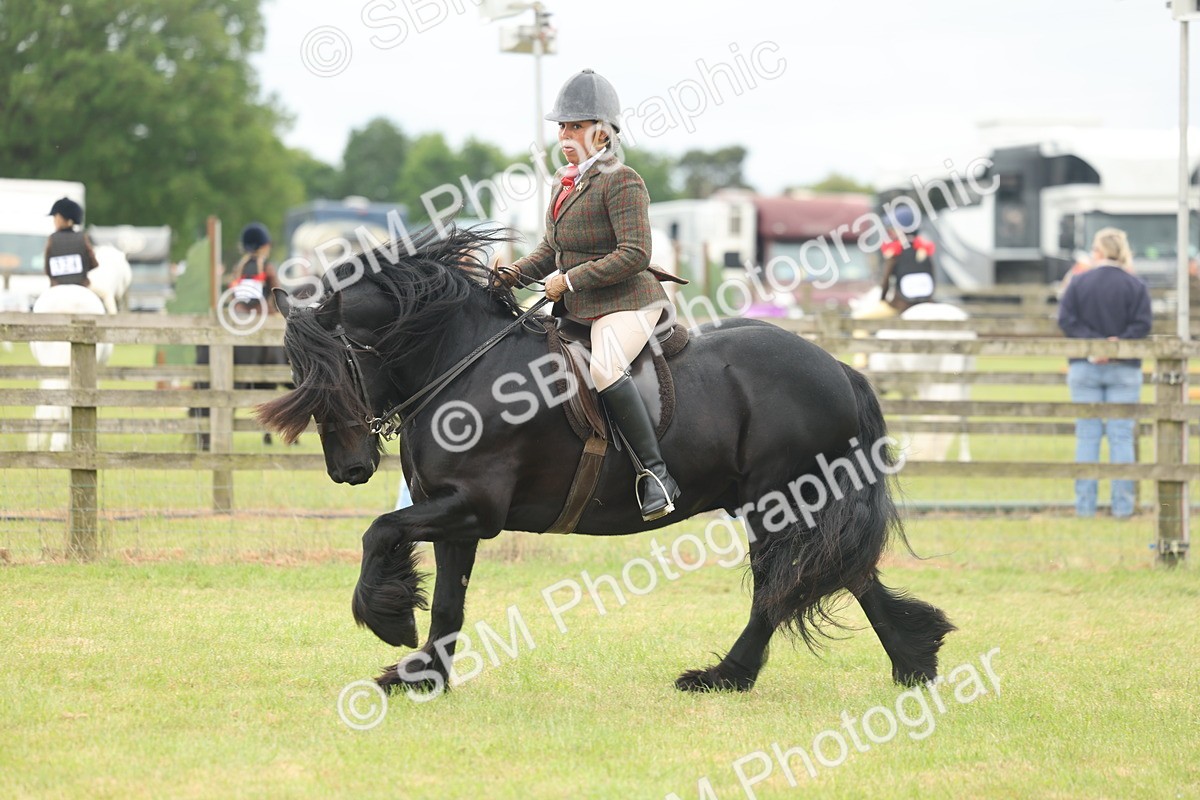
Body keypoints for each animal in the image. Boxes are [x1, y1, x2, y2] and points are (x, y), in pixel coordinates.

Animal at [257, 226, 954, 694]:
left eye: (333, 374)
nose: (347, 469)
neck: (463, 365)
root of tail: (838, 368)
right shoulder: (452, 513)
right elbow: (448, 600)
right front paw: (423, 672)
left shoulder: (473, 508)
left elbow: (380, 531)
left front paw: (389, 622)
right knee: (844, 574)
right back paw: (914, 659)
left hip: (781, 505)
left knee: (780, 588)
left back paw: (725, 676)